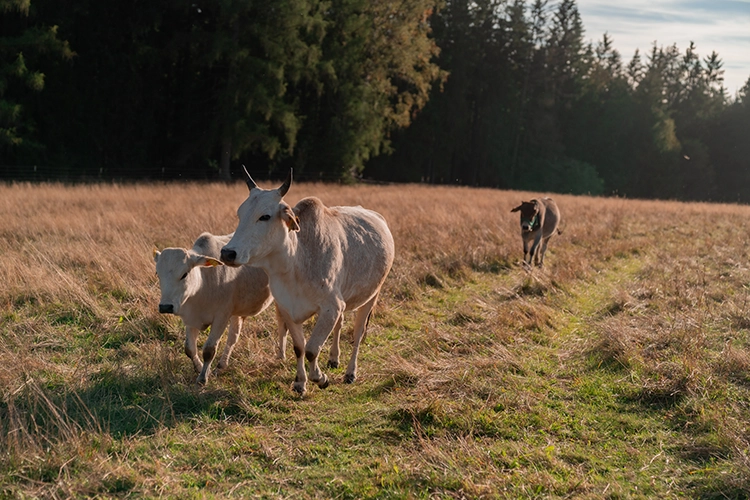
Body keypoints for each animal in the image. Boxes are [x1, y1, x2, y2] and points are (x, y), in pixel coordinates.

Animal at [156, 232, 288, 384]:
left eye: (184, 274)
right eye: (158, 274)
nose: (165, 306)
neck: (203, 282)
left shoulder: (221, 317)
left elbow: (209, 350)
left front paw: (203, 377)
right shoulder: (191, 319)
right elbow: (189, 349)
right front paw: (199, 368)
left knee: (282, 324)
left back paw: (281, 355)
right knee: (233, 336)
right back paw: (221, 366)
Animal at [220, 170, 396, 396]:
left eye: (265, 216)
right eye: (240, 214)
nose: (227, 253)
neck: (295, 262)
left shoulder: (331, 306)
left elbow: (312, 349)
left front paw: (320, 378)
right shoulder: (288, 308)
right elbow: (300, 348)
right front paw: (300, 383)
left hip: (371, 296)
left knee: (357, 334)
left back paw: (350, 373)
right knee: (340, 326)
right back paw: (334, 358)